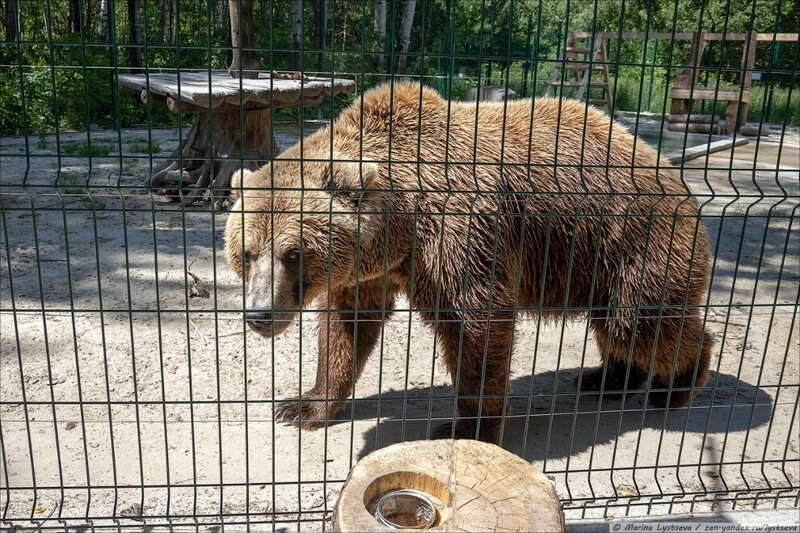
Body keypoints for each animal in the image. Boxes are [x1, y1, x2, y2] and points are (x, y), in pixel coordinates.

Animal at [223, 81, 712, 442]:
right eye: (247, 253)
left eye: (293, 253)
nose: (259, 315)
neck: (401, 224)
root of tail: (672, 172)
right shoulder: (370, 268)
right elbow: (347, 327)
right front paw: (304, 405)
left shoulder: (459, 235)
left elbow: (477, 326)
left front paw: (467, 425)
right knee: (617, 325)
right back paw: (606, 377)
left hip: (632, 239)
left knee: (641, 323)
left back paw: (676, 385)